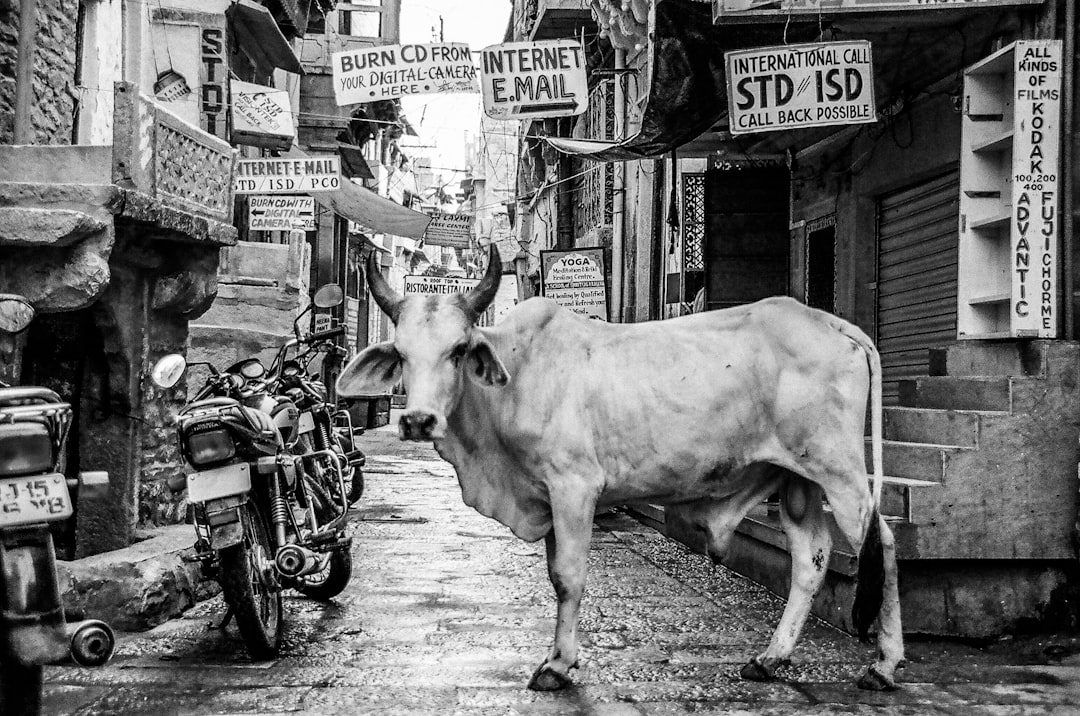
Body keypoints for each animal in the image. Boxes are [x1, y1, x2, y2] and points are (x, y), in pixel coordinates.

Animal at [338, 245, 903, 692]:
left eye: (458, 351)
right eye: (402, 354)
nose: (417, 420)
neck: (516, 378)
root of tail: (831, 323)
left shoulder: (573, 488)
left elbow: (568, 577)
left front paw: (557, 666)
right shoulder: (547, 496)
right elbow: (555, 574)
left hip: (841, 472)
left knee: (883, 544)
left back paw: (883, 666)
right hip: (798, 478)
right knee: (812, 557)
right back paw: (770, 659)